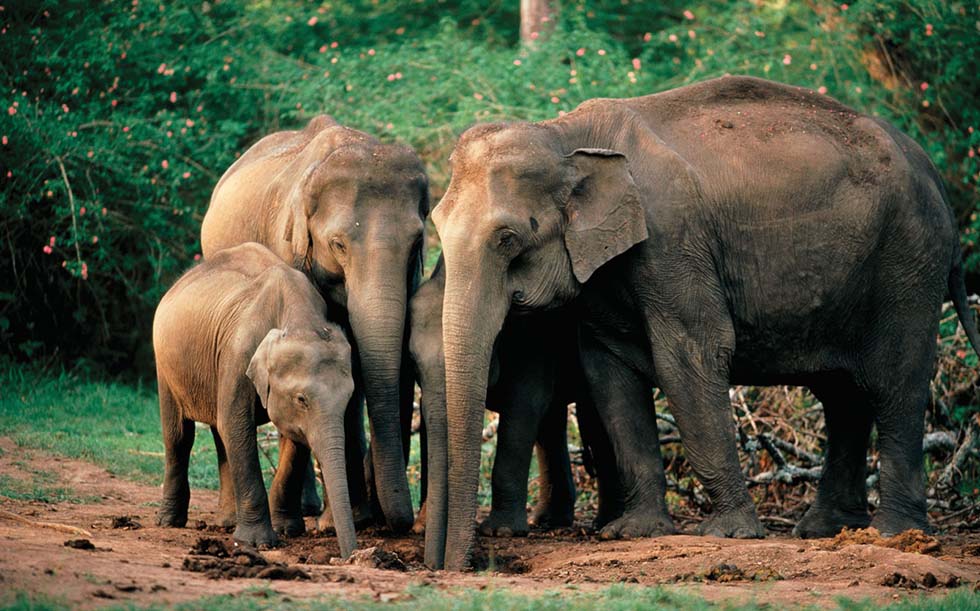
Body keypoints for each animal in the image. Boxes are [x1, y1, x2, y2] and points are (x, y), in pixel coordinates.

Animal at [152, 242, 357, 557]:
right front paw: (259, 542)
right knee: (180, 436)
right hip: (166, 365)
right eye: (302, 399)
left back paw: (227, 522)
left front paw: (287, 530)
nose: (351, 556)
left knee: (219, 433)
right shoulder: (238, 353)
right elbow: (237, 426)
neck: (299, 318)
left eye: (349, 398)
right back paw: (169, 521)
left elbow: (293, 440)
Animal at [201, 115, 427, 533]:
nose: (397, 522)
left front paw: (351, 517)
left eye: (417, 243)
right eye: (337, 244)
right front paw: (336, 523)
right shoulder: (289, 248)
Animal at [410, 256, 624, 565]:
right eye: (413, 361)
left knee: (590, 417)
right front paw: (421, 527)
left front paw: (501, 532)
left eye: (494, 342)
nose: (436, 565)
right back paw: (548, 521)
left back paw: (604, 523)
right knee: (553, 423)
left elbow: (525, 401)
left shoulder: (533, 332)